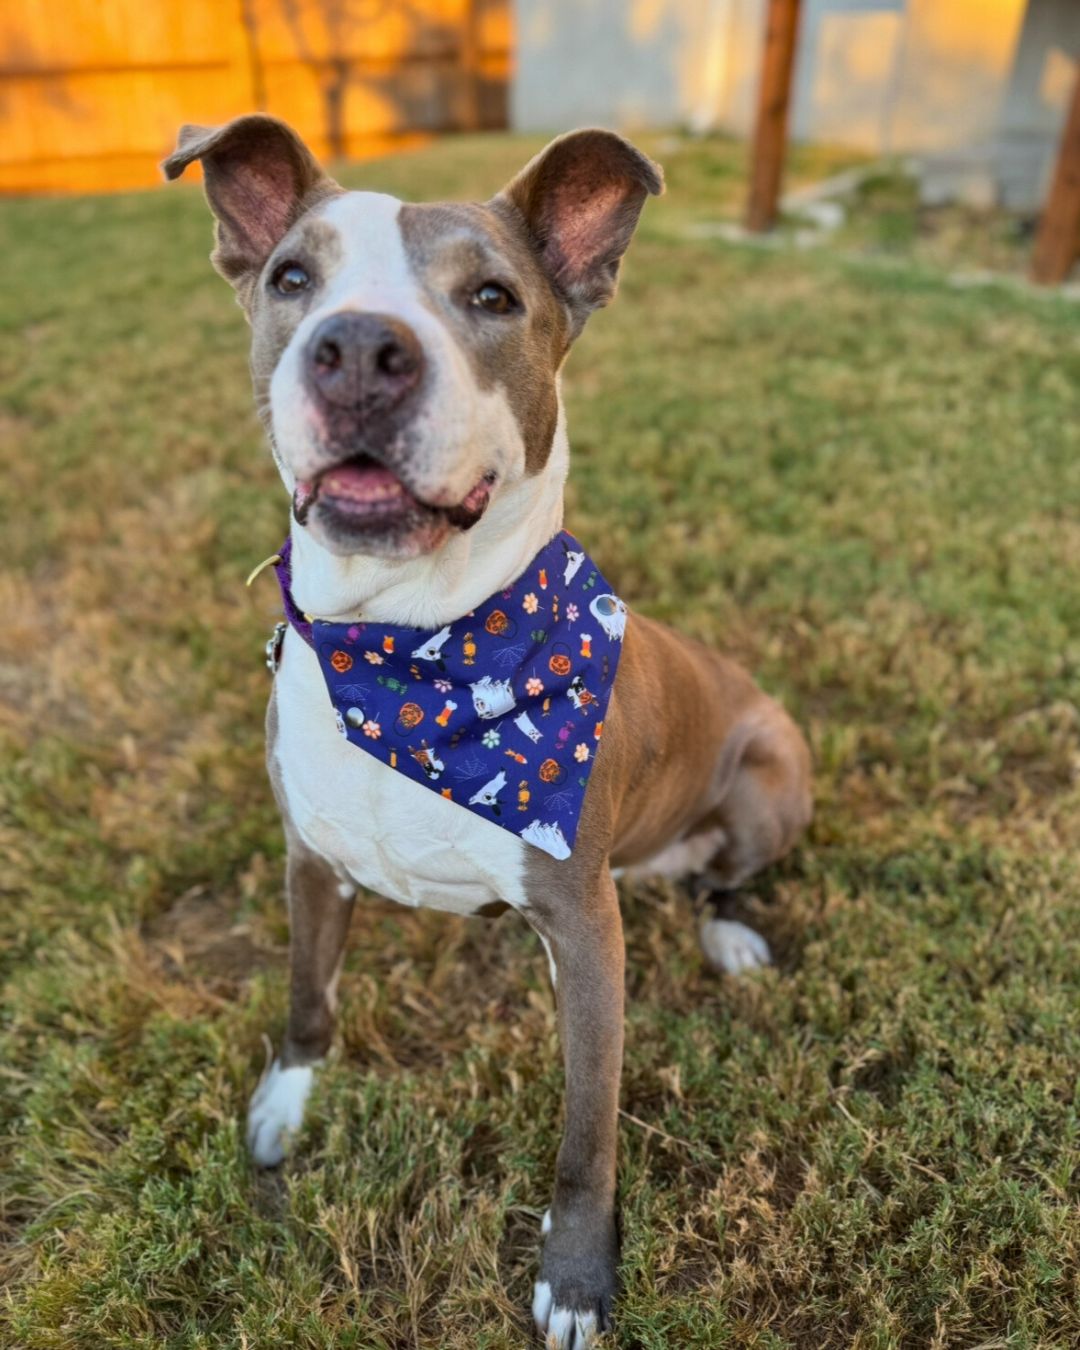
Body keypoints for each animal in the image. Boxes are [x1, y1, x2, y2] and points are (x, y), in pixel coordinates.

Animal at [164, 118, 810, 1350]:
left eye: (494, 296)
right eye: (292, 279)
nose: (357, 349)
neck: (409, 653)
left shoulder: (588, 930)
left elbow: (587, 1135)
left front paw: (577, 1279)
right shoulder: (310, 857)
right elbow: (307, 998)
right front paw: (281, 1114)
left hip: (770, 774)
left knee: (725, 878)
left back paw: (731, 935)